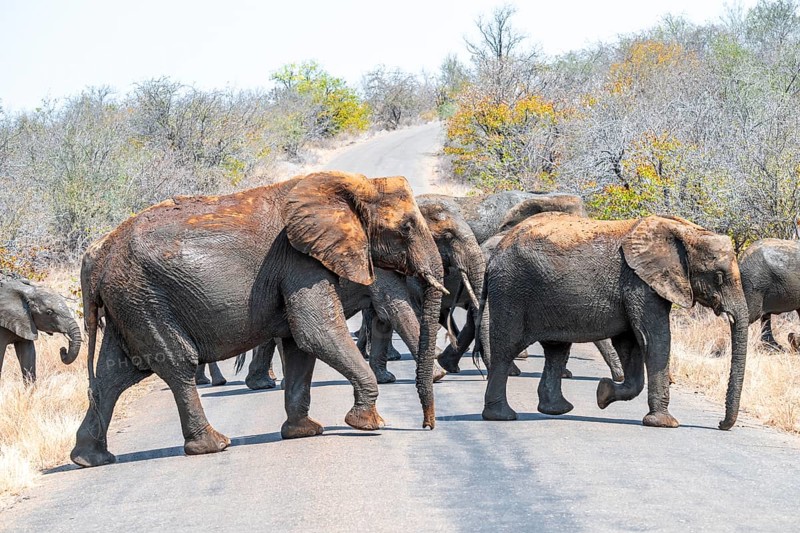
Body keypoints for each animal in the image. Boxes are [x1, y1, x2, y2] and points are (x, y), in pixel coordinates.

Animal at [69, 171, 445, 468]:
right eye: (407, 227)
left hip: (129, 304)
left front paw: (304, 432)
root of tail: (97, 257)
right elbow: (316, 333)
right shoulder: (300, 260)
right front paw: (367, 423)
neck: (355, 185)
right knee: (176, 364)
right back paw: (213, 445)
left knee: (115, 375)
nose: (427, 426)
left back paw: (90, 459)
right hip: (144, 297)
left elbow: (300, 345)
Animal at [479, 213, 748, 430]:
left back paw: (557, 410)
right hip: (511, 290)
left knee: (556, 351)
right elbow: (654, 340)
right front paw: (665, 423)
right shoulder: (639, 284)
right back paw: (501, 416)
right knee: (506, 348)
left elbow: (630, 344)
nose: (721, 425)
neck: (683, 231)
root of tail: (494, 256)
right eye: (719, 276)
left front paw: (603, 393)